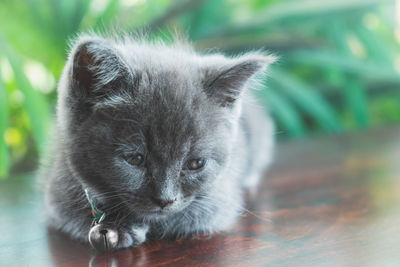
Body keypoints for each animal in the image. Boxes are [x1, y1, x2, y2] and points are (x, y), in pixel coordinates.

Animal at [43, 33, 276, 251]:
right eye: (134, 159)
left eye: (195, 163)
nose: (165, 200)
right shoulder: (58, 192)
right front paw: (121, 227)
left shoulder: (218, 200)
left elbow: (190, 217)